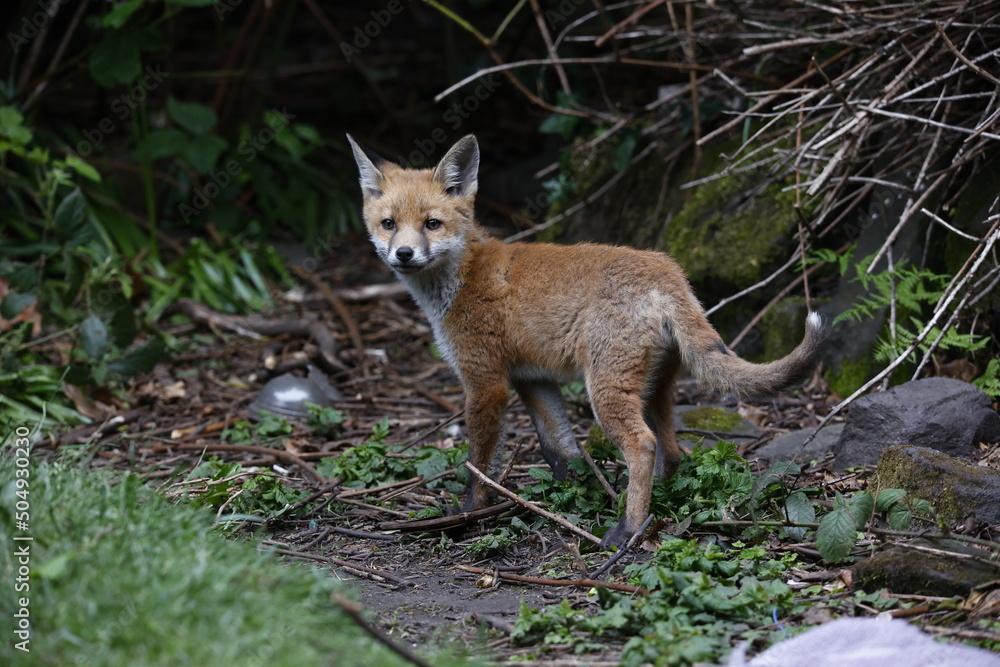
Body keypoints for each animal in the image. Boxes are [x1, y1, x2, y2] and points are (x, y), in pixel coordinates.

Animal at [347, 133, 826, 548]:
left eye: (432, 224)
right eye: (388, 224)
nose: (403, 254)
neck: (459, 280)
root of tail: (668, 271)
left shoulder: (486, 383)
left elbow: (479, 462)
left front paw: (469, 512)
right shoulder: (532, 379)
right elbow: (559, 448)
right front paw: (566, 498)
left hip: (606, 389)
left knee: (644, 445)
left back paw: (628, 529)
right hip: (654, 388)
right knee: (671, 451)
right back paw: (657, 505)